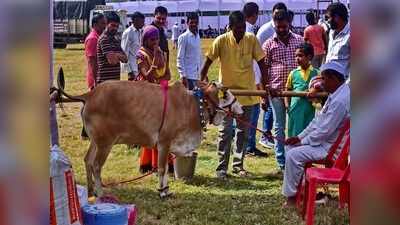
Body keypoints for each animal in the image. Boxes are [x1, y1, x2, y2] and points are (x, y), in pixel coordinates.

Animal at [57, 77, 242, 197]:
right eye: (225, 94)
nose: (240, 108)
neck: (194, 105)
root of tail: (90, 94)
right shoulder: (164, 143)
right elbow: (161, 169)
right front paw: (162, 193)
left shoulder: (168, 146)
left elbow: (166, 168)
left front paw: (166, 190)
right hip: (105, 143)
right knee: (96, 165)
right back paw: (101, 193)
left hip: (96, 142)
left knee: (87, 160)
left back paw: (91, 191)